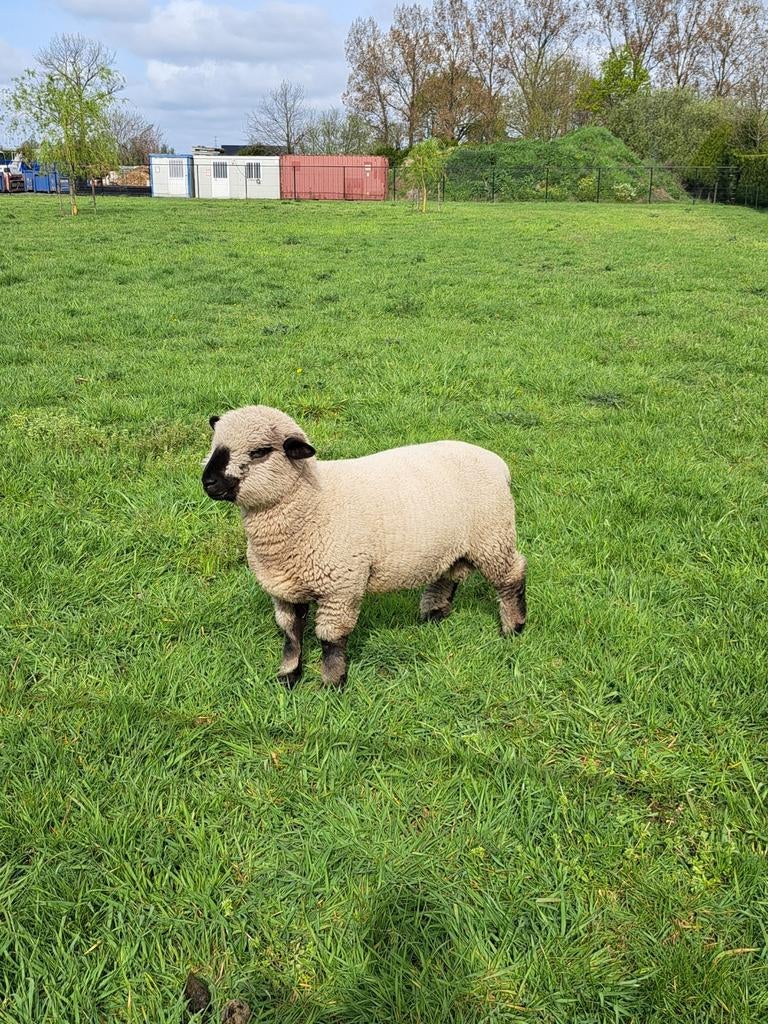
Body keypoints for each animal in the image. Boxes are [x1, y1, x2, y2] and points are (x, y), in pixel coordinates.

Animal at [202, 405, 527, 689]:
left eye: (259, 452)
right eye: (215, 446)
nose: (208, 482)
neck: (314, 502)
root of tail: (498, 463)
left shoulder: (341, 587)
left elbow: (331, 639)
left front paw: (331, 684)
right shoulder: (283, 589)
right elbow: (291, 635)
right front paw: (288, 677)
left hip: (493, 536)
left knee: (512, 575)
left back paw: (514, 628)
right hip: (452, 543)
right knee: (447, 574)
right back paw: (433, 615)